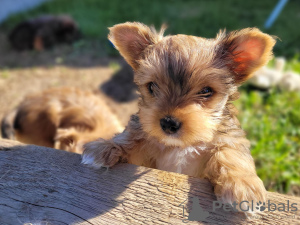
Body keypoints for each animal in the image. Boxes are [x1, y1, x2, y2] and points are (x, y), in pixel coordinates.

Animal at [81, 22, 274, 208]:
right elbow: (131, 139)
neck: (180, 146)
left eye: (206, 91)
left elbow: (230, 151)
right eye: (152, 86)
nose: (168, 123)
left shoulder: (228, 138)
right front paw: (106, 146)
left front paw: (242, 184)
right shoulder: (146, 151)